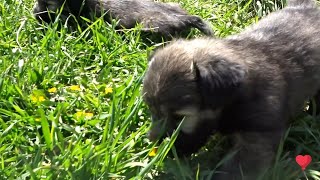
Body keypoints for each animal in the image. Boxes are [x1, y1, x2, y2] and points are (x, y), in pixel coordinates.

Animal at [142, 0, 320, 179]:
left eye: (180, 117)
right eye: (151, 111)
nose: (155, 144)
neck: (236, 96)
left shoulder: (256, 138)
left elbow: (234, 170)